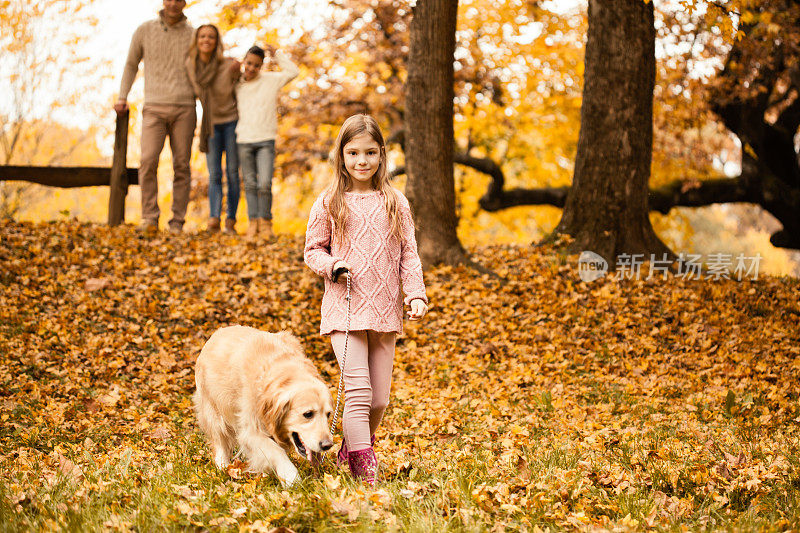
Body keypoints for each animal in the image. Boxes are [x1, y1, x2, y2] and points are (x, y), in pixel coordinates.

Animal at [195, 324, 332, 486]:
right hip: (213, 409)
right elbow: (275, 451)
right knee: (220, 439)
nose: (327, 445)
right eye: (308, 414)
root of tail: (219, 331)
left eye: (328, 414)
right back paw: (222, 465)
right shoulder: (251, 430)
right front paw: (291, 478)